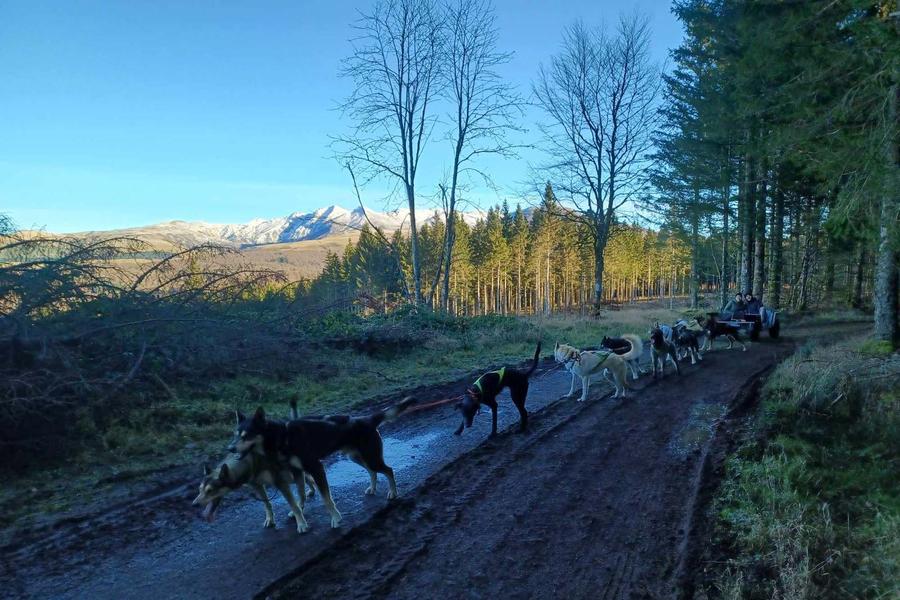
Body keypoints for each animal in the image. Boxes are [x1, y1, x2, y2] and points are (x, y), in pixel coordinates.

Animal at [230, 398, 416, 528]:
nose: (230, 448)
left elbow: (326, 498)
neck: (283, 437)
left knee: (388, 470)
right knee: (373, 471)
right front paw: (298, 510)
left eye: (246, 435)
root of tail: (366, 419)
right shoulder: (297, 471)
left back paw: (393, 492)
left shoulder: (316, 468)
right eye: (236, 434)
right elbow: (301, 493)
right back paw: (372, 488)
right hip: (356, 457)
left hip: (371, 458)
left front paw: (335, 518)